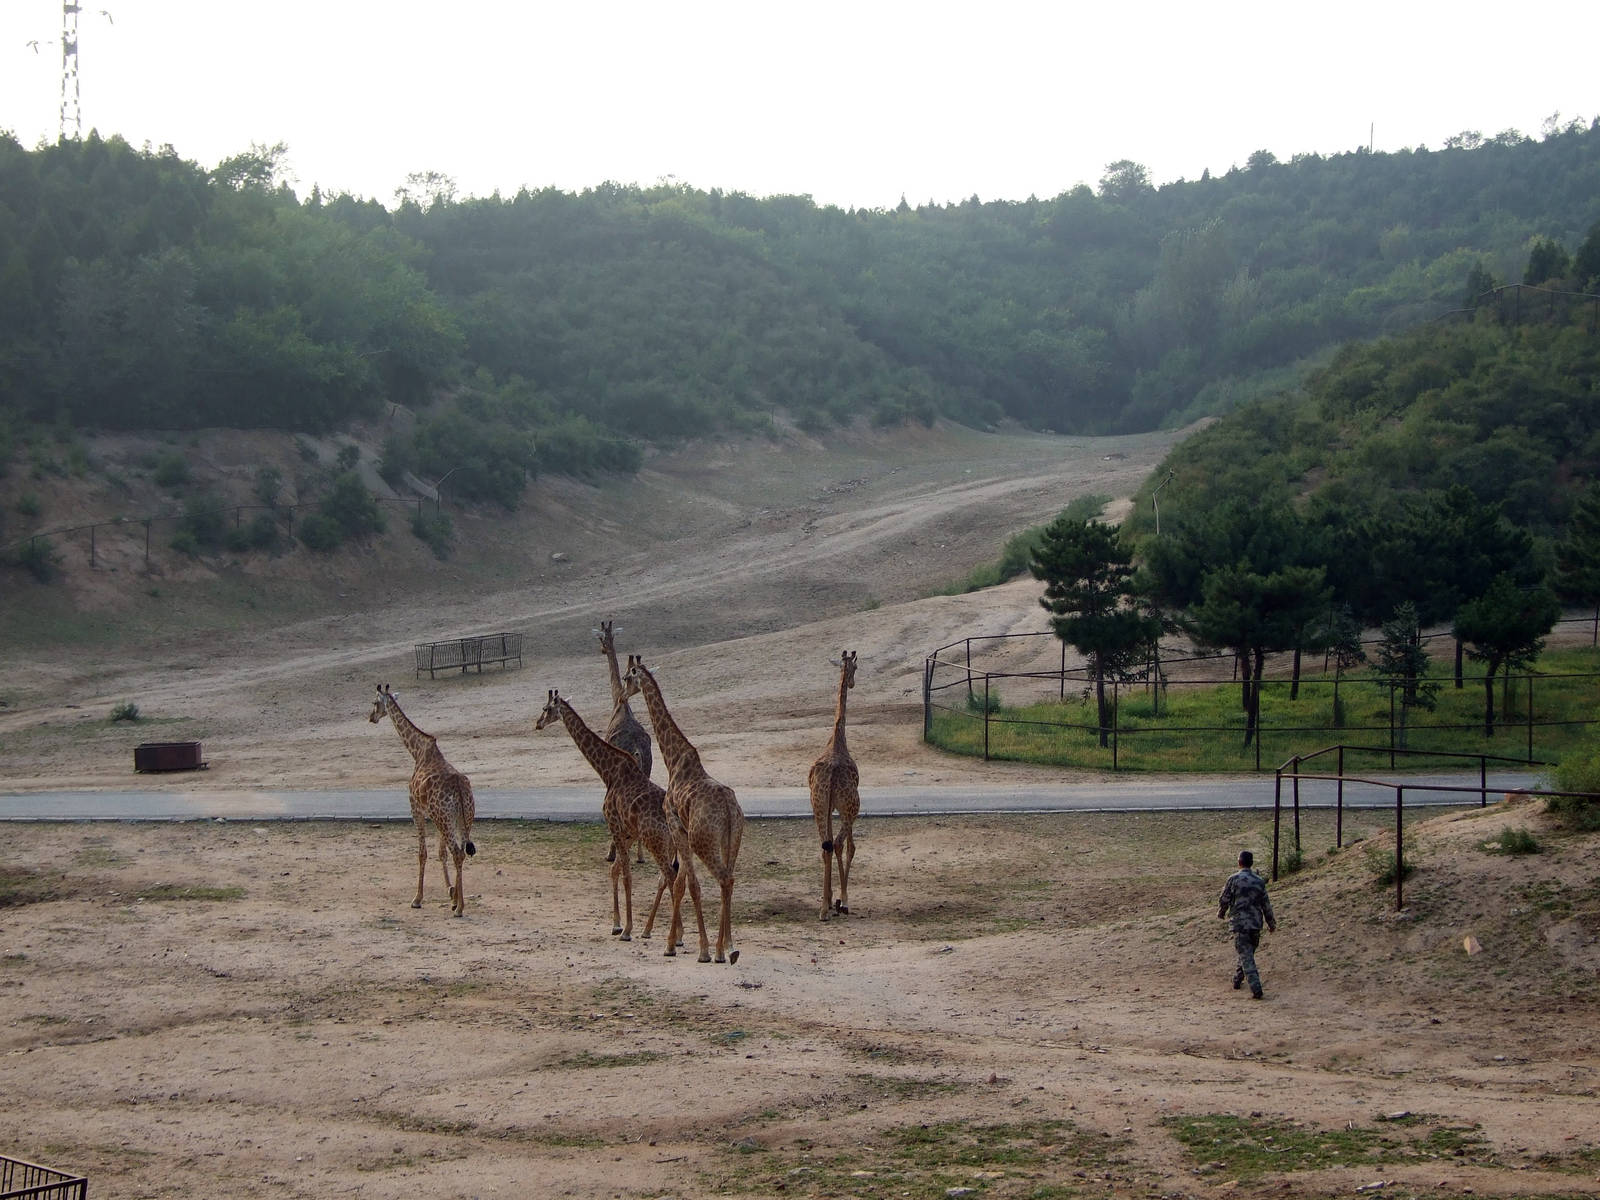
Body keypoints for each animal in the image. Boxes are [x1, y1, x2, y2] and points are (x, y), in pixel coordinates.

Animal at [367, 683, 477, 917]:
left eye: (375, 702)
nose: (371, 717)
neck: (417, 751)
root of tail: (460, 789)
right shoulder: (436, 816)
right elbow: (441, 853)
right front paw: (451, 893)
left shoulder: (416, 810)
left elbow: (422, 853)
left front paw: (417, 898)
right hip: (462, 818)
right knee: (461, 852)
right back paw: (458, 904)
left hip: (444, 818)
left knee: (457, 852)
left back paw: (460, 909)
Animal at [534, 689, 679, 944]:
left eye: (546, 708)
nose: (537, 724)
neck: (608, 772)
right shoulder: (628, 832)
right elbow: (616, 870)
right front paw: (617, 924)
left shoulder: (614, 824)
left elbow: (626, 875)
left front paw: (627, 929)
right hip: (669, 846)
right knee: (673, 878)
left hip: (656, 842)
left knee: (670, 877)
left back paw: (674, 939)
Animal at [621, 655, 744, 964]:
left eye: (628, 678)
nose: (622, 695)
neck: (673, 759)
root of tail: (729, 809)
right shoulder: (684, 832)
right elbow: (685, 883)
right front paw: (699, 945)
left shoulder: (676, 826)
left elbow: (683, 884)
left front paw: (679, 946)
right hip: (731, 840)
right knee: (730, 879)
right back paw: (728, 947)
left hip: (704, 841)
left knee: (724, 878)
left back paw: (720, 951)